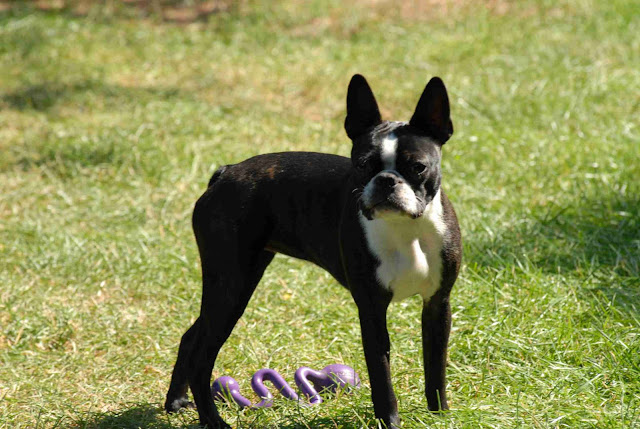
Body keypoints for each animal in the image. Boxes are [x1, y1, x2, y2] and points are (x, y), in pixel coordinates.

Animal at [164, 74, 462, 429]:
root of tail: (226, 172)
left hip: (236, 280)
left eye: (417, 167)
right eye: (362, 164)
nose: (386, 180)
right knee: (201, 355)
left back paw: (176, 401)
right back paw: (213, 421)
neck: (407, 229)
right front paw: (390, 421)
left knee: (191, 336)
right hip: (230, 284)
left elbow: (435, 366)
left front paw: (441, 414)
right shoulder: (372, 310)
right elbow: (382, 377)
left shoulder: (437, 304)